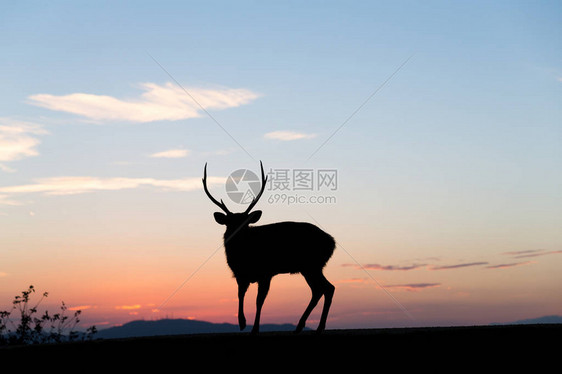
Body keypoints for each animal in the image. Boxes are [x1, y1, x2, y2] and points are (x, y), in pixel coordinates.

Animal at [201, 162, 332, 334]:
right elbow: (240, 295)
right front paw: (242, 323)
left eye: (246, 223)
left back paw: (315, 327)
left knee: (325, 288)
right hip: (311, 267)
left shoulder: (266, 273)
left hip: (312, 265)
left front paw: (255, 328)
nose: (236, 233)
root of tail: (332, 242)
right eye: (229, 223)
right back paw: (303, 327)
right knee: (322, 289)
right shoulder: (240, 274)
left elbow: (259, 300)